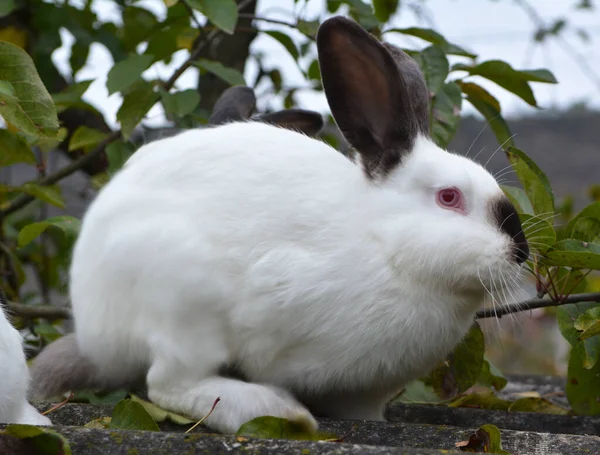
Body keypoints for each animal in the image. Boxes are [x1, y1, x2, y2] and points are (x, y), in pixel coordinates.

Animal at [28, 16, 528, 436]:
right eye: (449, 198)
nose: (520, 251)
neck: (384, 245)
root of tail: (92, 331)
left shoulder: (365, 393)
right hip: (183, 303)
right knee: (170, 384)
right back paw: (276, 411)